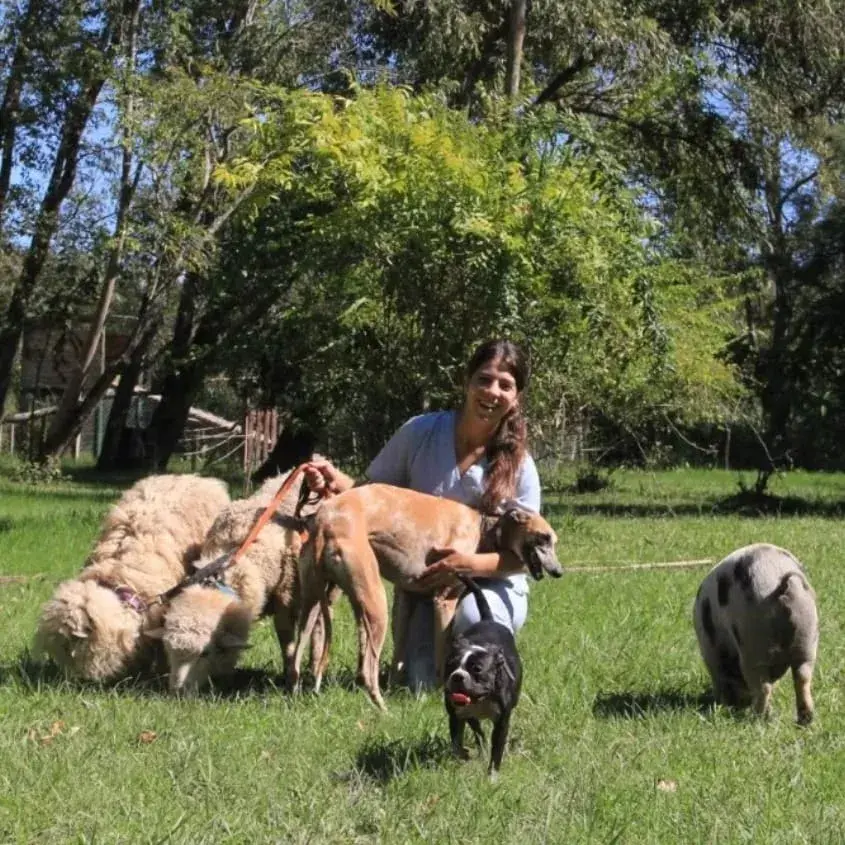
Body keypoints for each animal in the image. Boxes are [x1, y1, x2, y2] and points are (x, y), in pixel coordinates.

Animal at [442, 572, 520, 780]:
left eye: (476, 669)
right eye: (450, 666)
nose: (457, 676)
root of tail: (488, 619)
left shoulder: (501, 723)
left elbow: (497, 750)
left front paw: (492, 777)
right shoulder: (457, 715)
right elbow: (457, 743)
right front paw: (463, 756)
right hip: (469, 716)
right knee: (478, 732)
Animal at [692, 544, 816, 724]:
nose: (738, 704)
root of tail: (782, 582)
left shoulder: (712, 656)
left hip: (752, 643)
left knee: (763, 687)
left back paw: (757, 718)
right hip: (807, 636)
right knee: (803, 678)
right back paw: (805, 720)